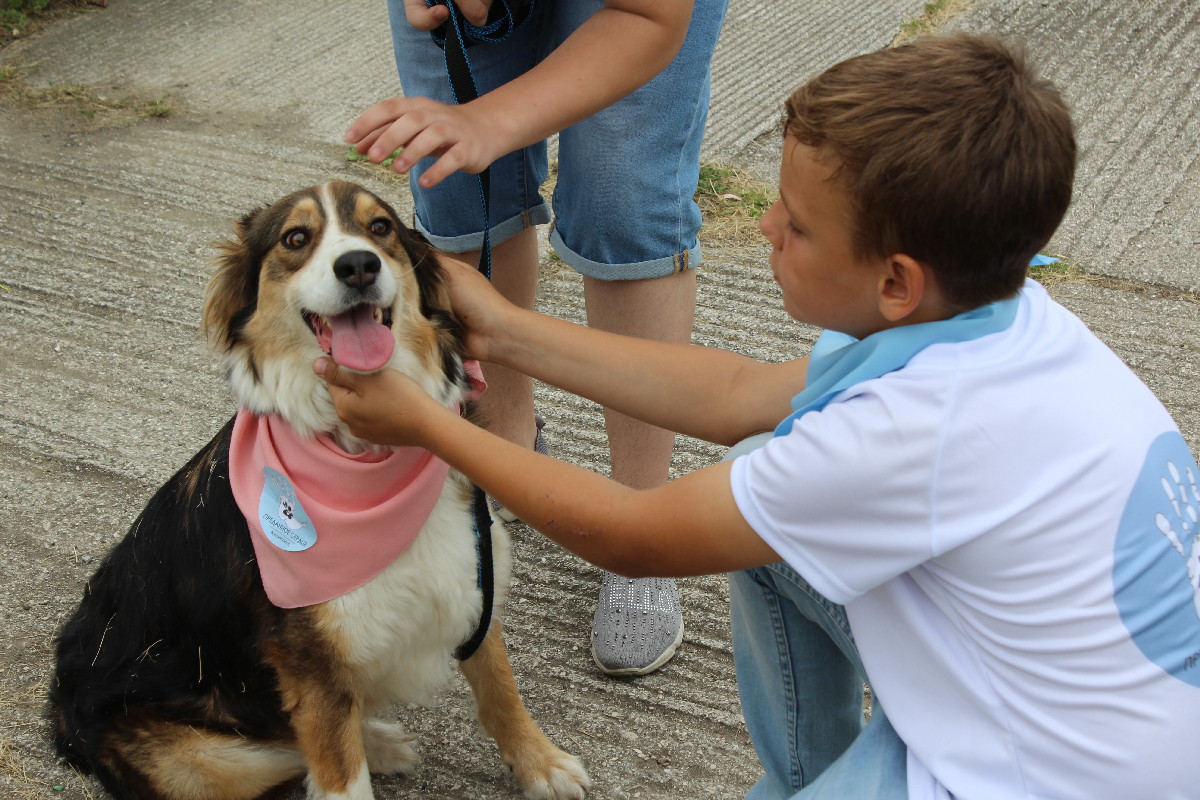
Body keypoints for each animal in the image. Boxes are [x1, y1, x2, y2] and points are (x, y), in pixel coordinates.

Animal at [50, 183, 590, 800]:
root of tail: (61, 709)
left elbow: (501, 687)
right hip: (206, 763)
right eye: (296, 238)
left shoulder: (473, 575)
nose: (358, 265)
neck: (366, 461)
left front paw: (541, 763)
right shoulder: (310, 663)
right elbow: (338, 769)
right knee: (286, 747)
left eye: (380, 229)